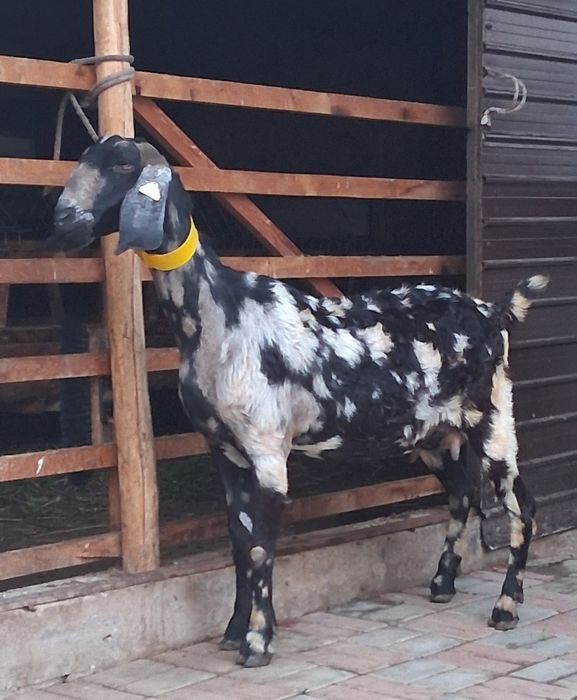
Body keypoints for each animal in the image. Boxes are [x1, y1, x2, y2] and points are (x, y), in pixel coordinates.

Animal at [51, 136, 547, 667]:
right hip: (436, 433)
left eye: (124, 164)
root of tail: (494, 311)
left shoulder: (268, 448)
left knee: (521, 503)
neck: (219, 313)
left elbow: (260, 549)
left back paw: (506, 607)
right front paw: (234, 629)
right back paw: (442, 583)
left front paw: (256, 642)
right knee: (462, 494)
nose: (64, 218)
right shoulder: (225, 452)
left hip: (493, 416)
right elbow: (239, 541)